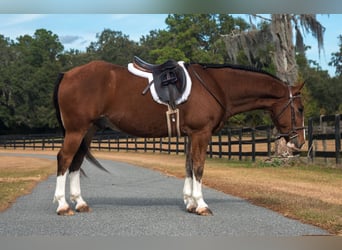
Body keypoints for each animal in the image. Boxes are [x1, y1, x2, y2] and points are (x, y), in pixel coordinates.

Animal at [52, 60, 304, 215]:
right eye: (300, 109)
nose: (298, 142)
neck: (217, 86)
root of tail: (67, 74)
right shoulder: (201, 133)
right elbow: (199, 167)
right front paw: (201, 205)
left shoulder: (191, 134)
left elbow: (190, 167)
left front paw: (190, 203)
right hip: (77, 130)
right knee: (64, 159)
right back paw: (63, 205)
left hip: (88, 130)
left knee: (76, 161)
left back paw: (80, 203)